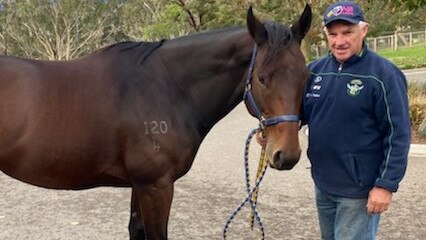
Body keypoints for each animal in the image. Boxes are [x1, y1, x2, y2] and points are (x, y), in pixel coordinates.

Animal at [0, 3, 312, 240]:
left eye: (306, 75)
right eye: (262, 78)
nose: (287, 155)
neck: (166, 86)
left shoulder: (141, 185)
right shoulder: (156, 186)